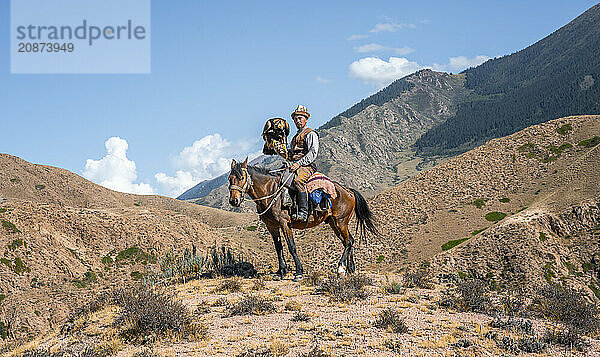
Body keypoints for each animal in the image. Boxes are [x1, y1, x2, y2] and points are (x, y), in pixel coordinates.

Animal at [227, 157, 378, 280]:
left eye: (242, 177)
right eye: (229, 179)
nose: (234, 201)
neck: (271, 191)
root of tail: (349, 191)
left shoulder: (284, 223)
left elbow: (291, 247)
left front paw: (299, 272)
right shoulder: (272, 226)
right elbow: (278, 247)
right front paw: (281, 271)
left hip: (340, 222)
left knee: (348, 242)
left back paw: (341, 268)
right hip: (334, 223)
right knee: (349, 241)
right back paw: (350, 269)